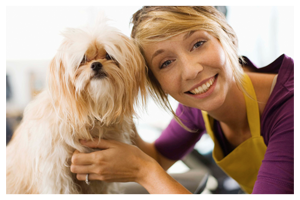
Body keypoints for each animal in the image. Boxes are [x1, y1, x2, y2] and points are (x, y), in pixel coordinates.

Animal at [5, 17, 148, 195]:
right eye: (83, 60)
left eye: (109, 55)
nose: (96, 65)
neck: (91, 110)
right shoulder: (55, 173)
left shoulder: (97, 179)